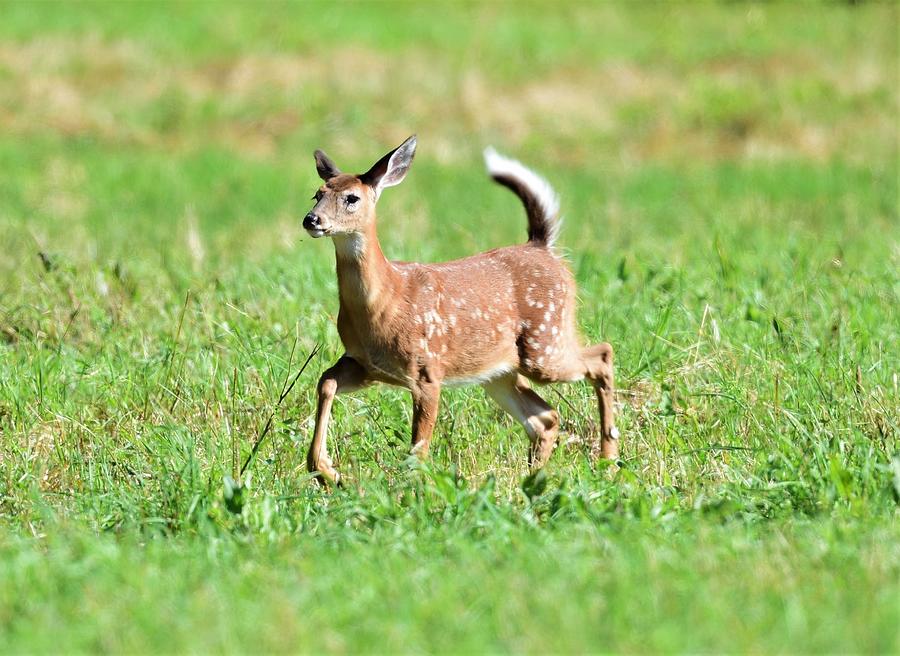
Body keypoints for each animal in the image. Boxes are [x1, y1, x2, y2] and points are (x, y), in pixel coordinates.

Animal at [302, 133, 620, 484]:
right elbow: (326, 381)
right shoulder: (365, 365)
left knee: (602, 355)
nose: (311, 219)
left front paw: (409, 488)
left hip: (544, 345)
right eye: (317, 193)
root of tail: (542, 246)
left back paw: (608, 457)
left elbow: (419, 447)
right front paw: (325, 470)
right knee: (546, 417)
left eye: (352, 198)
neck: (385, 302)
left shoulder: (427, 369)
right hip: (498, 372)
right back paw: (535, 476)